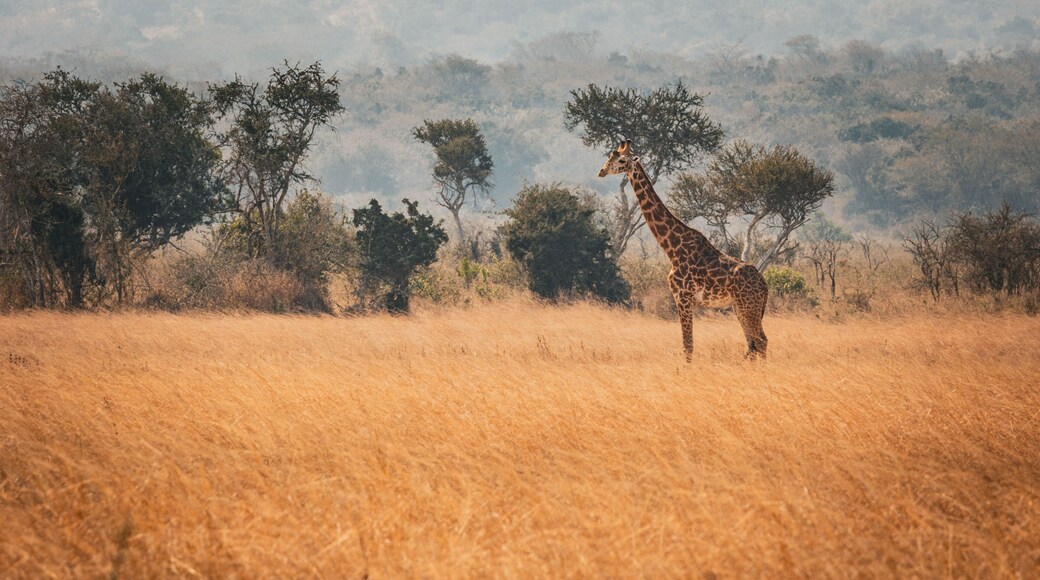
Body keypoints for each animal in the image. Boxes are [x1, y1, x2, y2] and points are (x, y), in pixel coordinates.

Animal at [598, 140, 769, 361]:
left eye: (621, 160)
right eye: (609, 158)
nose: (601, 171)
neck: (672, 248)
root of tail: (765, 286)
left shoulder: (683, 299)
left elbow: (688, 346)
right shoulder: (684, 300)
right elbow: (688, 345)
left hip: (749, 306)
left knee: (760, 341)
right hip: (740, 306)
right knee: (752, 344)